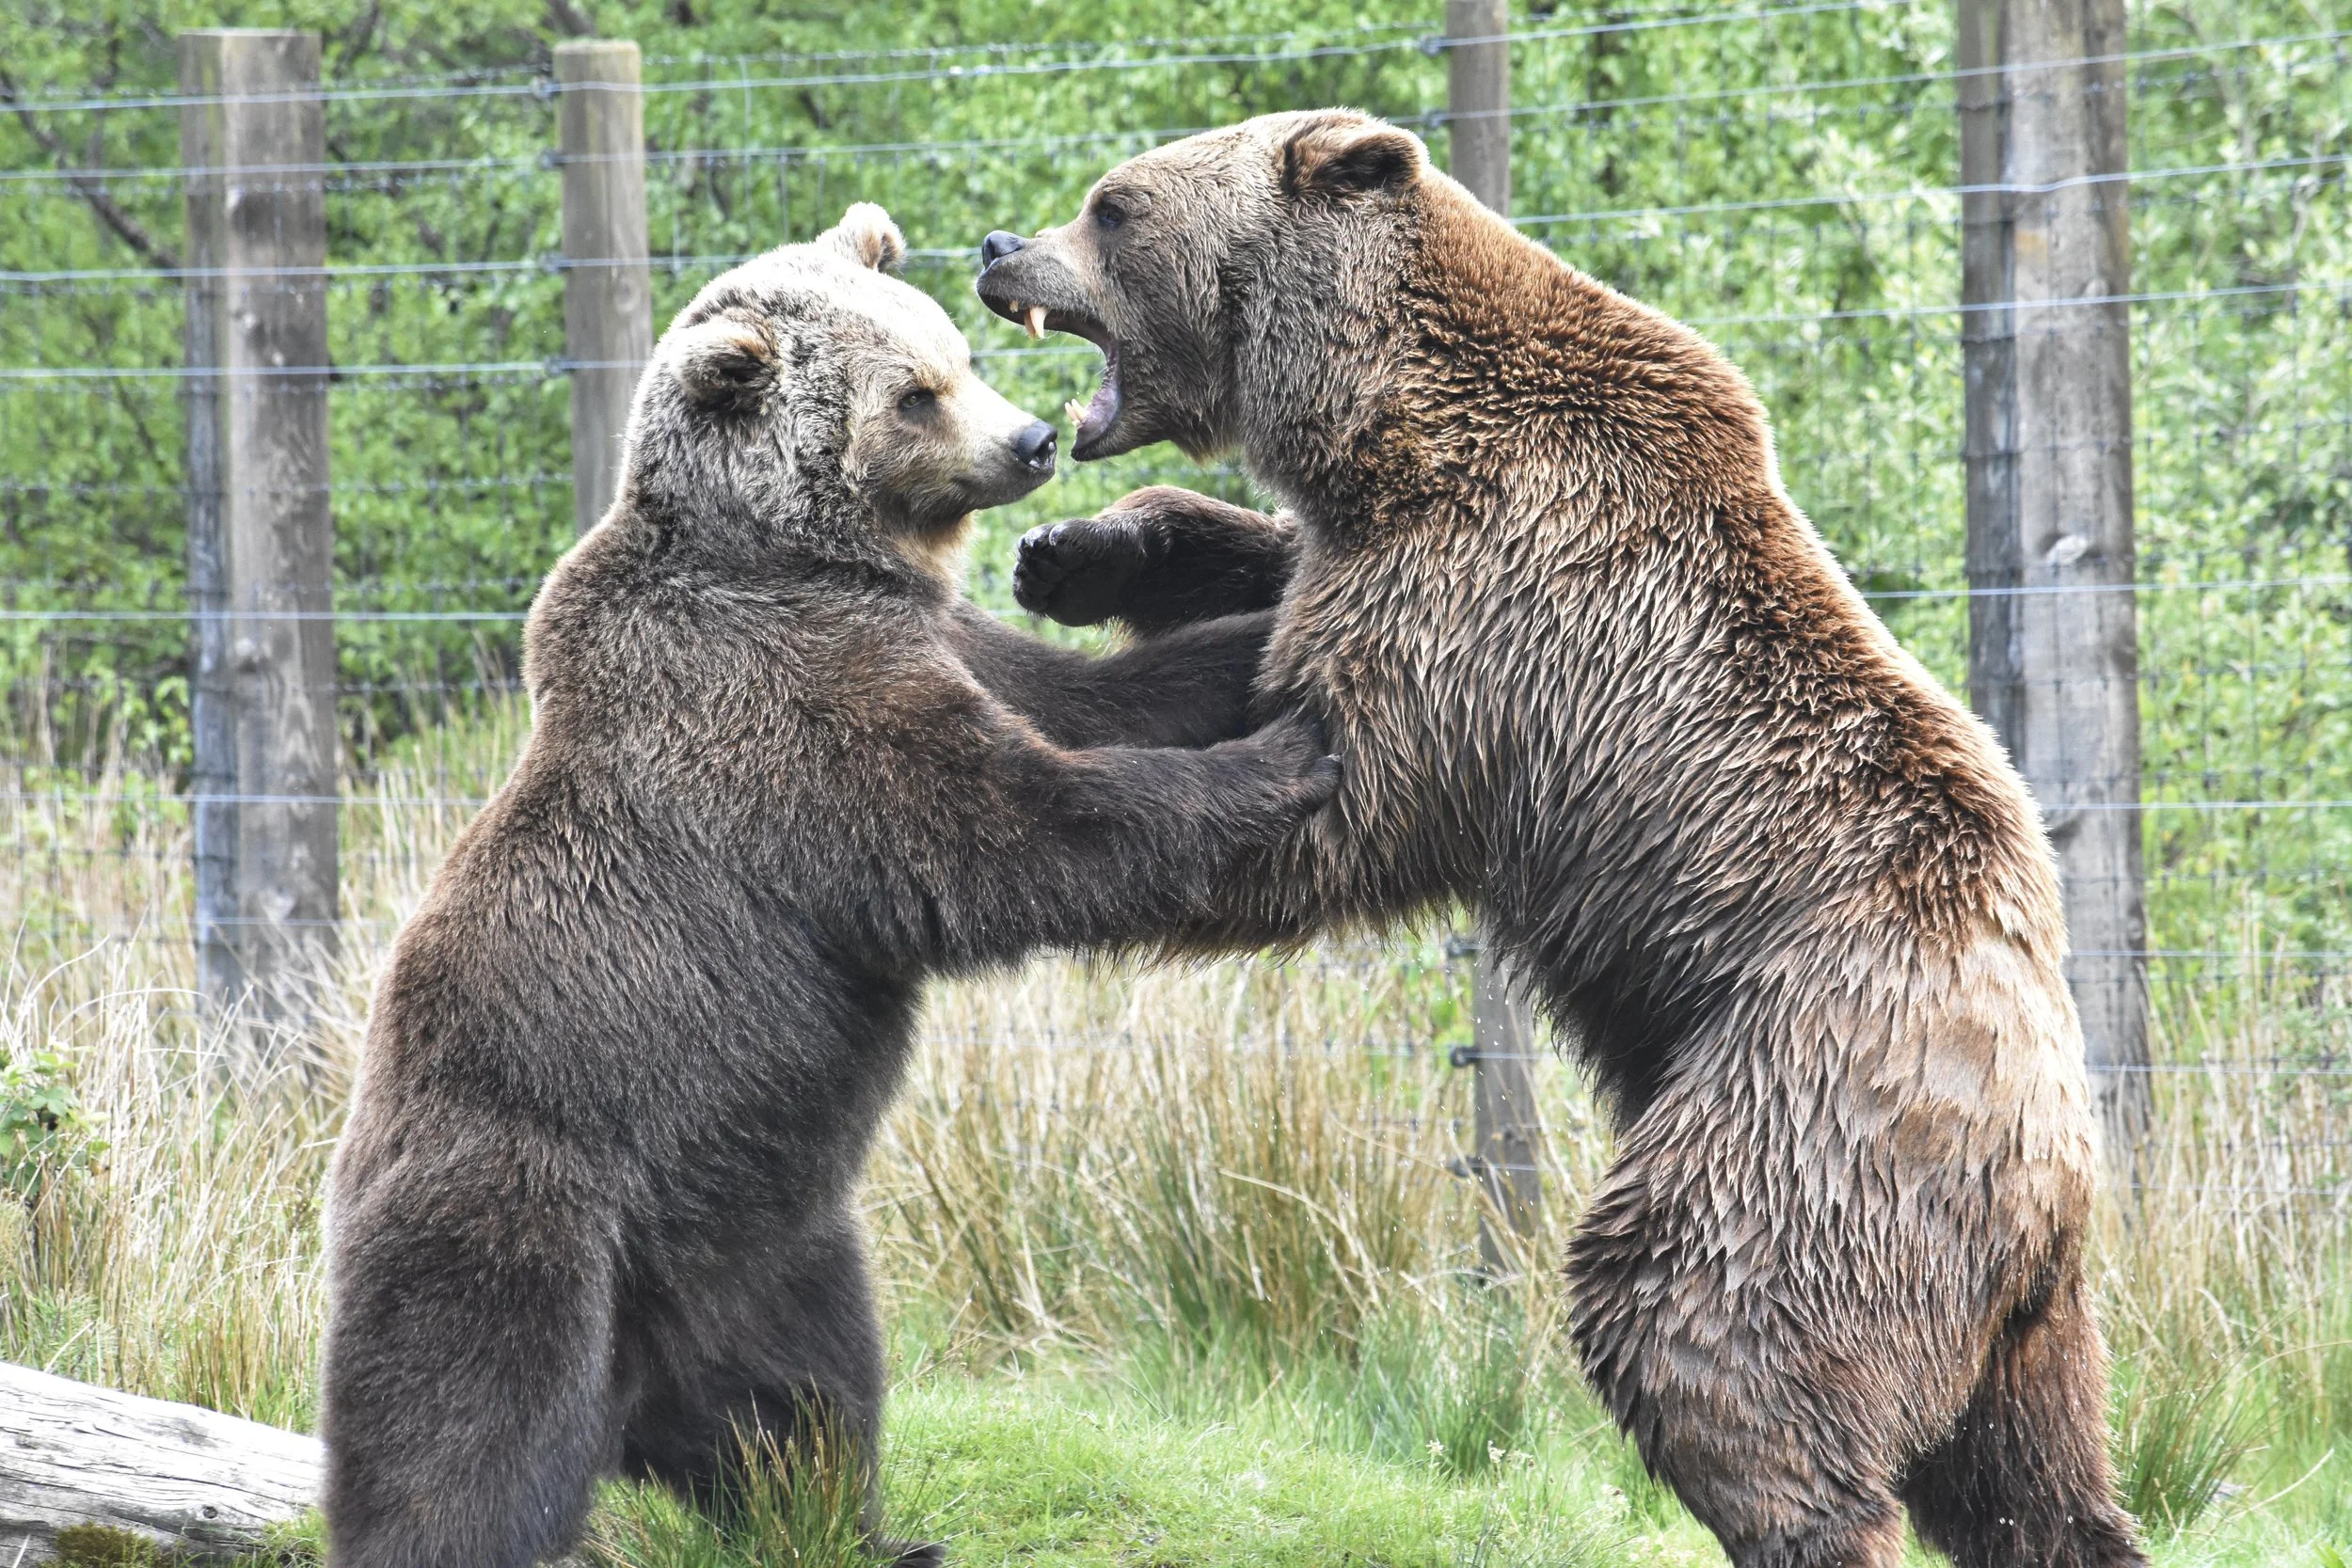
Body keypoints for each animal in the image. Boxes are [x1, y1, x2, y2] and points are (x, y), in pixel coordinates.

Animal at [318, 203, 1333, 1568]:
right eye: (913, 393)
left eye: (953, 352)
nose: (1030, 440)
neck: (801, 560)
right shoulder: (785, 714)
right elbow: (1006, 831)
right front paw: (1282, 753)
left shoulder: (919, 639)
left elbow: (1099, 697)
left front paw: (1258, 633)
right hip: (515, 1200)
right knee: (466, 1427)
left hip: (770, 1237)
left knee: (803, 1399)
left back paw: (854, 1525)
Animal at [973, 113, 2145, 1568]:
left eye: (1113, 204)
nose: (997, 244)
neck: (1379, 414)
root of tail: (2058, 1159)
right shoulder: (1390, 549)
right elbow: (1262, 575)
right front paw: (1076, 553)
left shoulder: (1490, 611)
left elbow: (1335, 802)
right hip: (2019, 1318)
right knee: (2036, 1481)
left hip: (1812, 1110)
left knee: (1705, 1315)